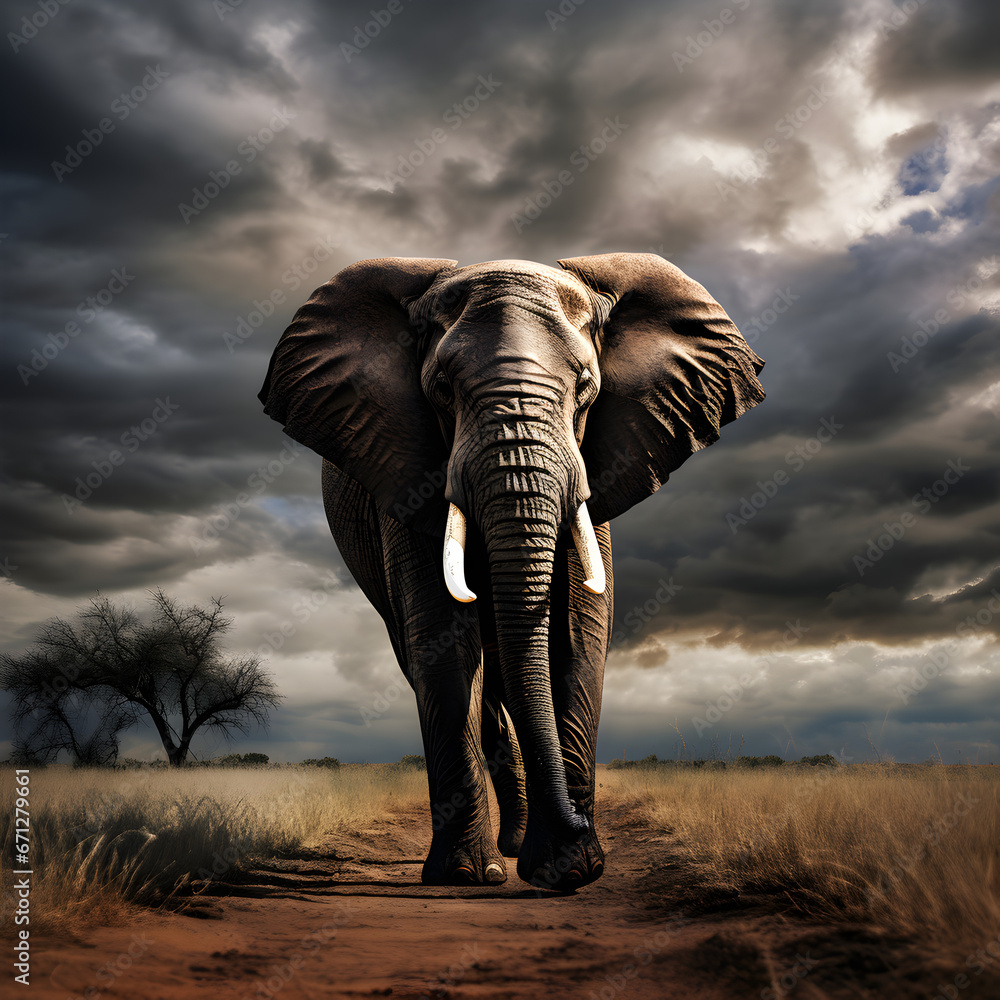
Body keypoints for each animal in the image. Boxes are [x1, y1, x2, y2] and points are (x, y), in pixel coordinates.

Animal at [258, 252, 764, 891]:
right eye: (440, 391)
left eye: (586, 389)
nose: (580, 824)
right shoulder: (405, 473)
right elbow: (445, 644)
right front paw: (469, 876)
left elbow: (577, 639)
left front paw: (569, 870)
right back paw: (503, 855)